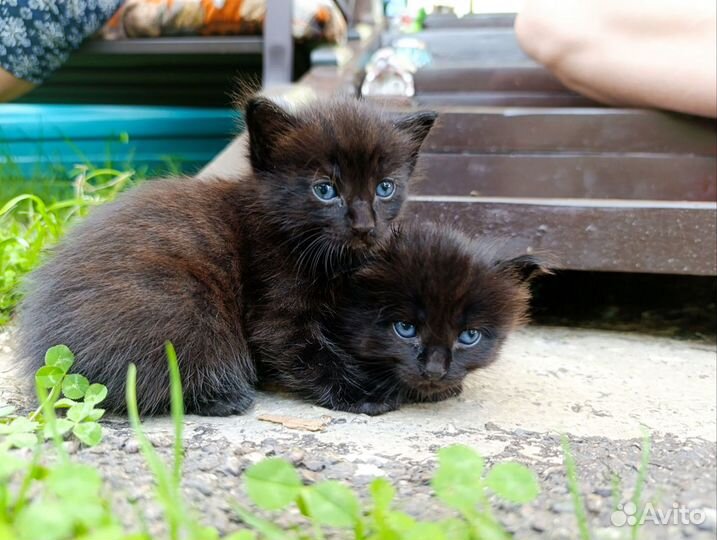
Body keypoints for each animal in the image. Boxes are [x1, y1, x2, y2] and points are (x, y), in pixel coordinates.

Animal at [18, 97, 436, 416]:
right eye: (325, 190)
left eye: (385, 188)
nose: (366, 226)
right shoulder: (275, 307)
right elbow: (304, 352)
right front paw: (365, 393)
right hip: (185, 307)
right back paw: (226, 396)